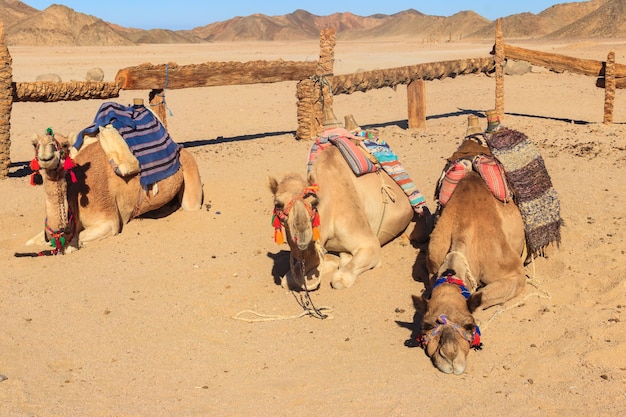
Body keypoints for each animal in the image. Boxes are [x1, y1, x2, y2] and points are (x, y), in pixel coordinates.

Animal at [26, 129, 202, 254]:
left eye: (64, 145)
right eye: (35, 144)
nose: (46, 157)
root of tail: (179, 147)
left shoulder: (107, 220)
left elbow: (72, 244)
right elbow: (31, 241)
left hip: (190, 168)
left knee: (190, 205)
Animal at [266, 127, 432, 290]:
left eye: (314, 203)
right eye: (278, 204)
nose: (301, 233)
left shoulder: (369, 243)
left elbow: (340, 279)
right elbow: (288, 280)